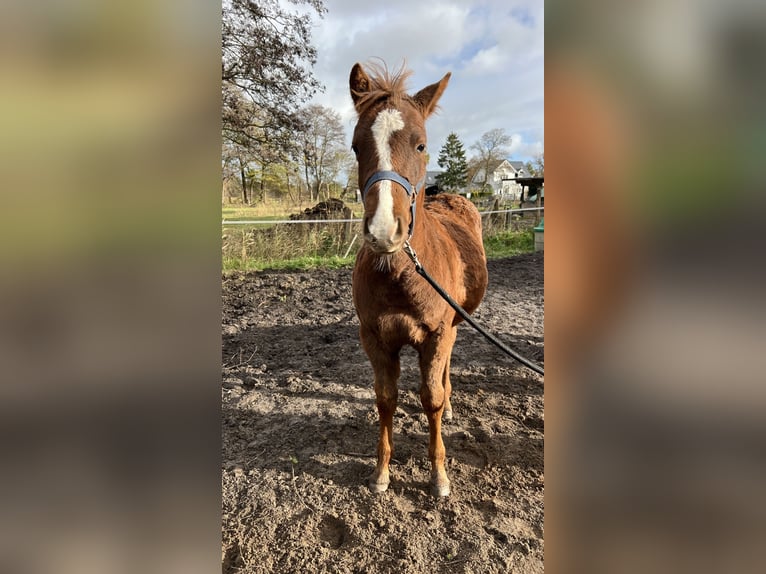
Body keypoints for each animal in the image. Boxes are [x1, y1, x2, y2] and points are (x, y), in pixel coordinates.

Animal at [352, 60, 488, 498]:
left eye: (421, 145)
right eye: (356, 146)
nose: (383, 232)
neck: (403, 275)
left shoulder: (436, 334)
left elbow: (431, 398)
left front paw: (439, 475)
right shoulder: (375, 338)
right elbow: (385, 398)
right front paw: (381, 471)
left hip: (454, 324)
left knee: (444, 376)